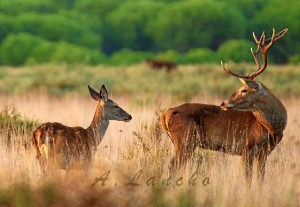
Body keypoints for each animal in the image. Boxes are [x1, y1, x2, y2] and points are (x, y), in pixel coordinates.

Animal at [161, 27, 288, 184]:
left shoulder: (264, 153)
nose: (223, 102)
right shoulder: (247, 148)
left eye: (244, 90)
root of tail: (165, 114)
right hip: (185, 140)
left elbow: (260, 179)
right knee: (172, 167)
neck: (271, 129)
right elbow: (248, 179)